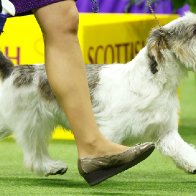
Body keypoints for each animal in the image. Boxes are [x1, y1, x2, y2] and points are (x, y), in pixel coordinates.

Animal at [0, 11, 196, 175]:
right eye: (194, 30)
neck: (154, 83)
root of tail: (13, 70)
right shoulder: (109, 131)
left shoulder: (165, 132)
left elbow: (183, 151)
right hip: (31, 124)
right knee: (33, 153)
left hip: (35, 125)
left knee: (34, 156)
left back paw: (52, 167)